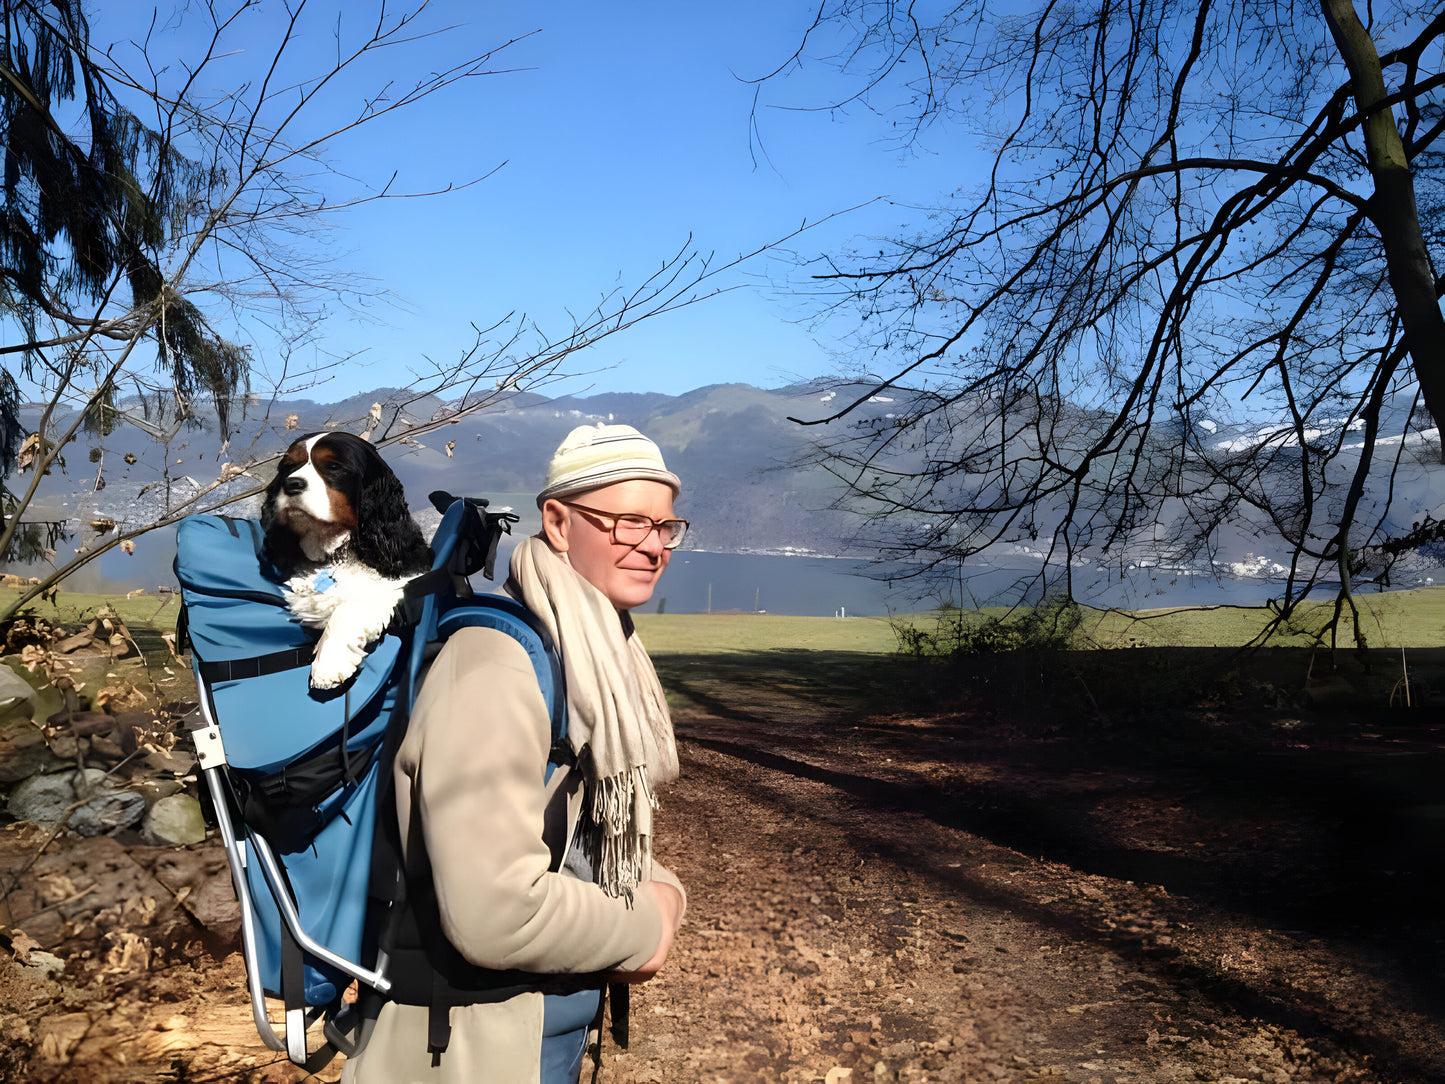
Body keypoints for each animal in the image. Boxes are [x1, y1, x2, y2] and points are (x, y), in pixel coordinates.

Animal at [260, 430, 430, 687]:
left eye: (333, 466)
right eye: (288, 466)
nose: (291, 484)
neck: (335, 553)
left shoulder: (405, 579)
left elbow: (350, 607)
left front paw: (328, 662)